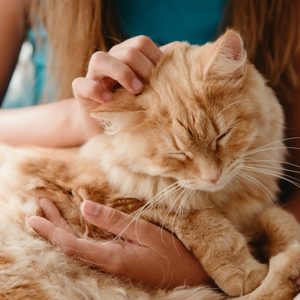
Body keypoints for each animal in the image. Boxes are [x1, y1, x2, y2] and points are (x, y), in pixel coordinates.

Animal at [0, 29, 300, 298]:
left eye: (222, 137)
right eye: (179, 154)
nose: (212, 177)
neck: (223, 197)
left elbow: (275, 217)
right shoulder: (112, 199)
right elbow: (204, 222)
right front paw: (243, 271)